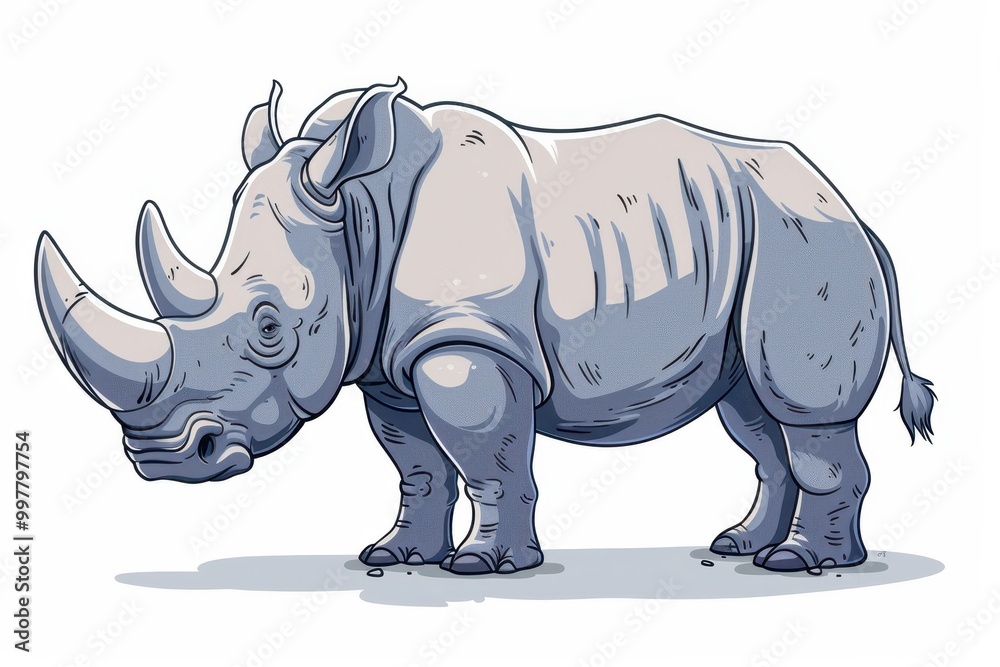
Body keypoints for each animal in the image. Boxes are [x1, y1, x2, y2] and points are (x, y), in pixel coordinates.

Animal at [35, 78, 935, 575]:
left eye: (266, 326)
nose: (161, 459)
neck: (359, 211)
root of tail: (855, 208)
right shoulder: (389, 360)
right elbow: (417, 464)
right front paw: (397, 557)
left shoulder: (466, 341)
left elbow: (487, 457)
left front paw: (483, 566)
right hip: (752, 242)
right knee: (751, 409)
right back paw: (741, 545)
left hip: (799, 241)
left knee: (802, 410)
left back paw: (802, 565)